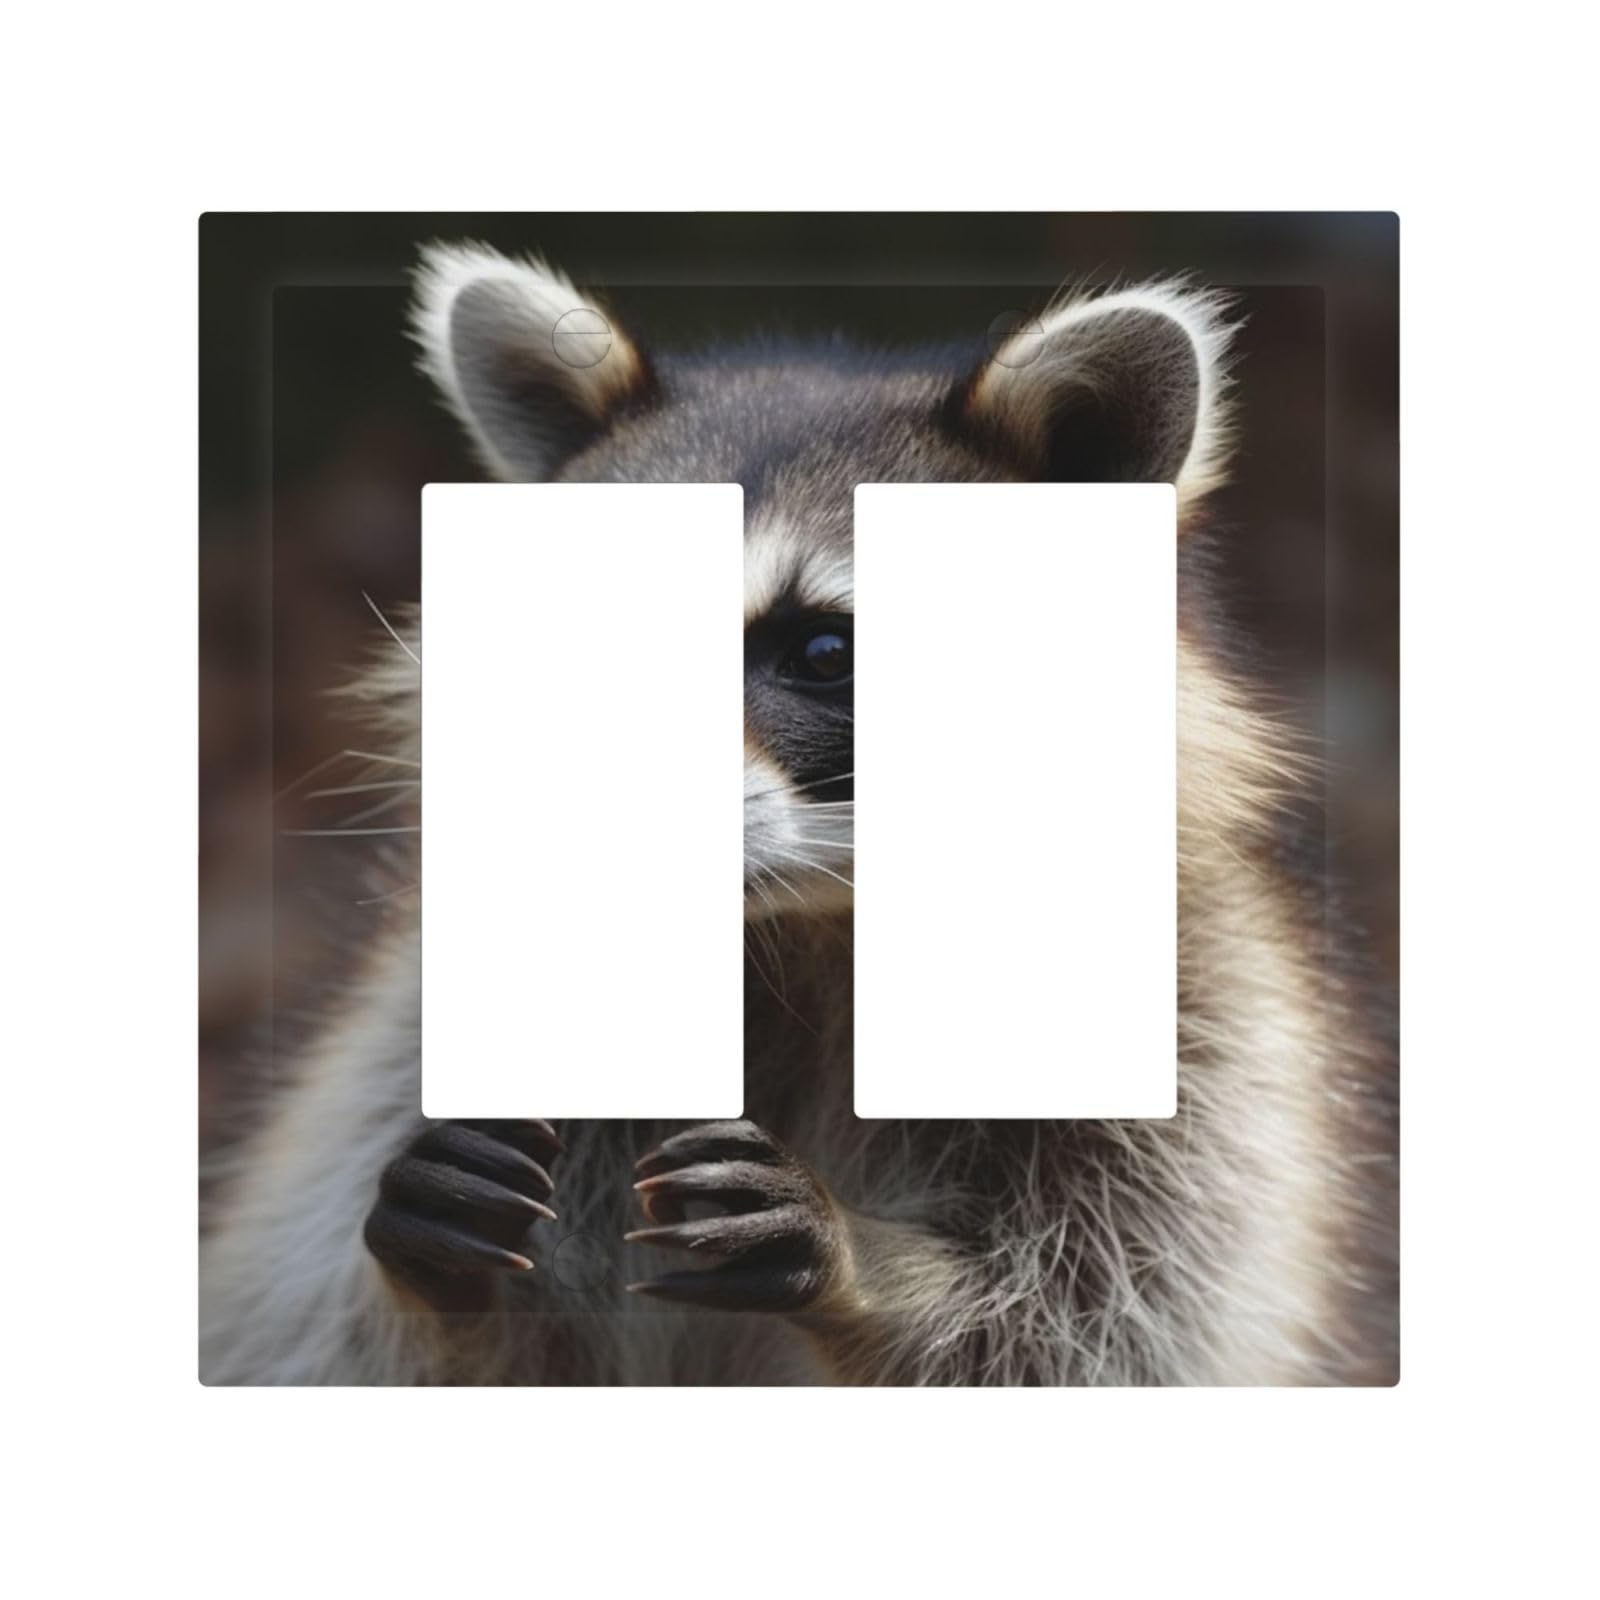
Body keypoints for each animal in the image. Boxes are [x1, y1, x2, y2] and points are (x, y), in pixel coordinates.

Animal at [199, 242, 1396, 1385]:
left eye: (823, 652)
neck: (799, 929)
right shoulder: (412, 1034)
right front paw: (442, 1285)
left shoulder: (1202, 1027)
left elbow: (1102, 1321)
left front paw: (873, 1270)